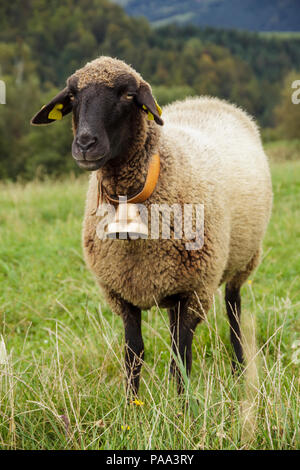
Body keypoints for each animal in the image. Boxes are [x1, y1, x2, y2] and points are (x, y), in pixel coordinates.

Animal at [31, 56, 274, 396]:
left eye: (128, 95)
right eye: (73, 96)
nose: (85, 144)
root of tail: (210, 100)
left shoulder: (196, 290)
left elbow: (181, 357)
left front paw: (183, 406)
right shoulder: (122, 294)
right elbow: (134, 354)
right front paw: (131, 404)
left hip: (243, 261)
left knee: (234, 312)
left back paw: (240, 371)